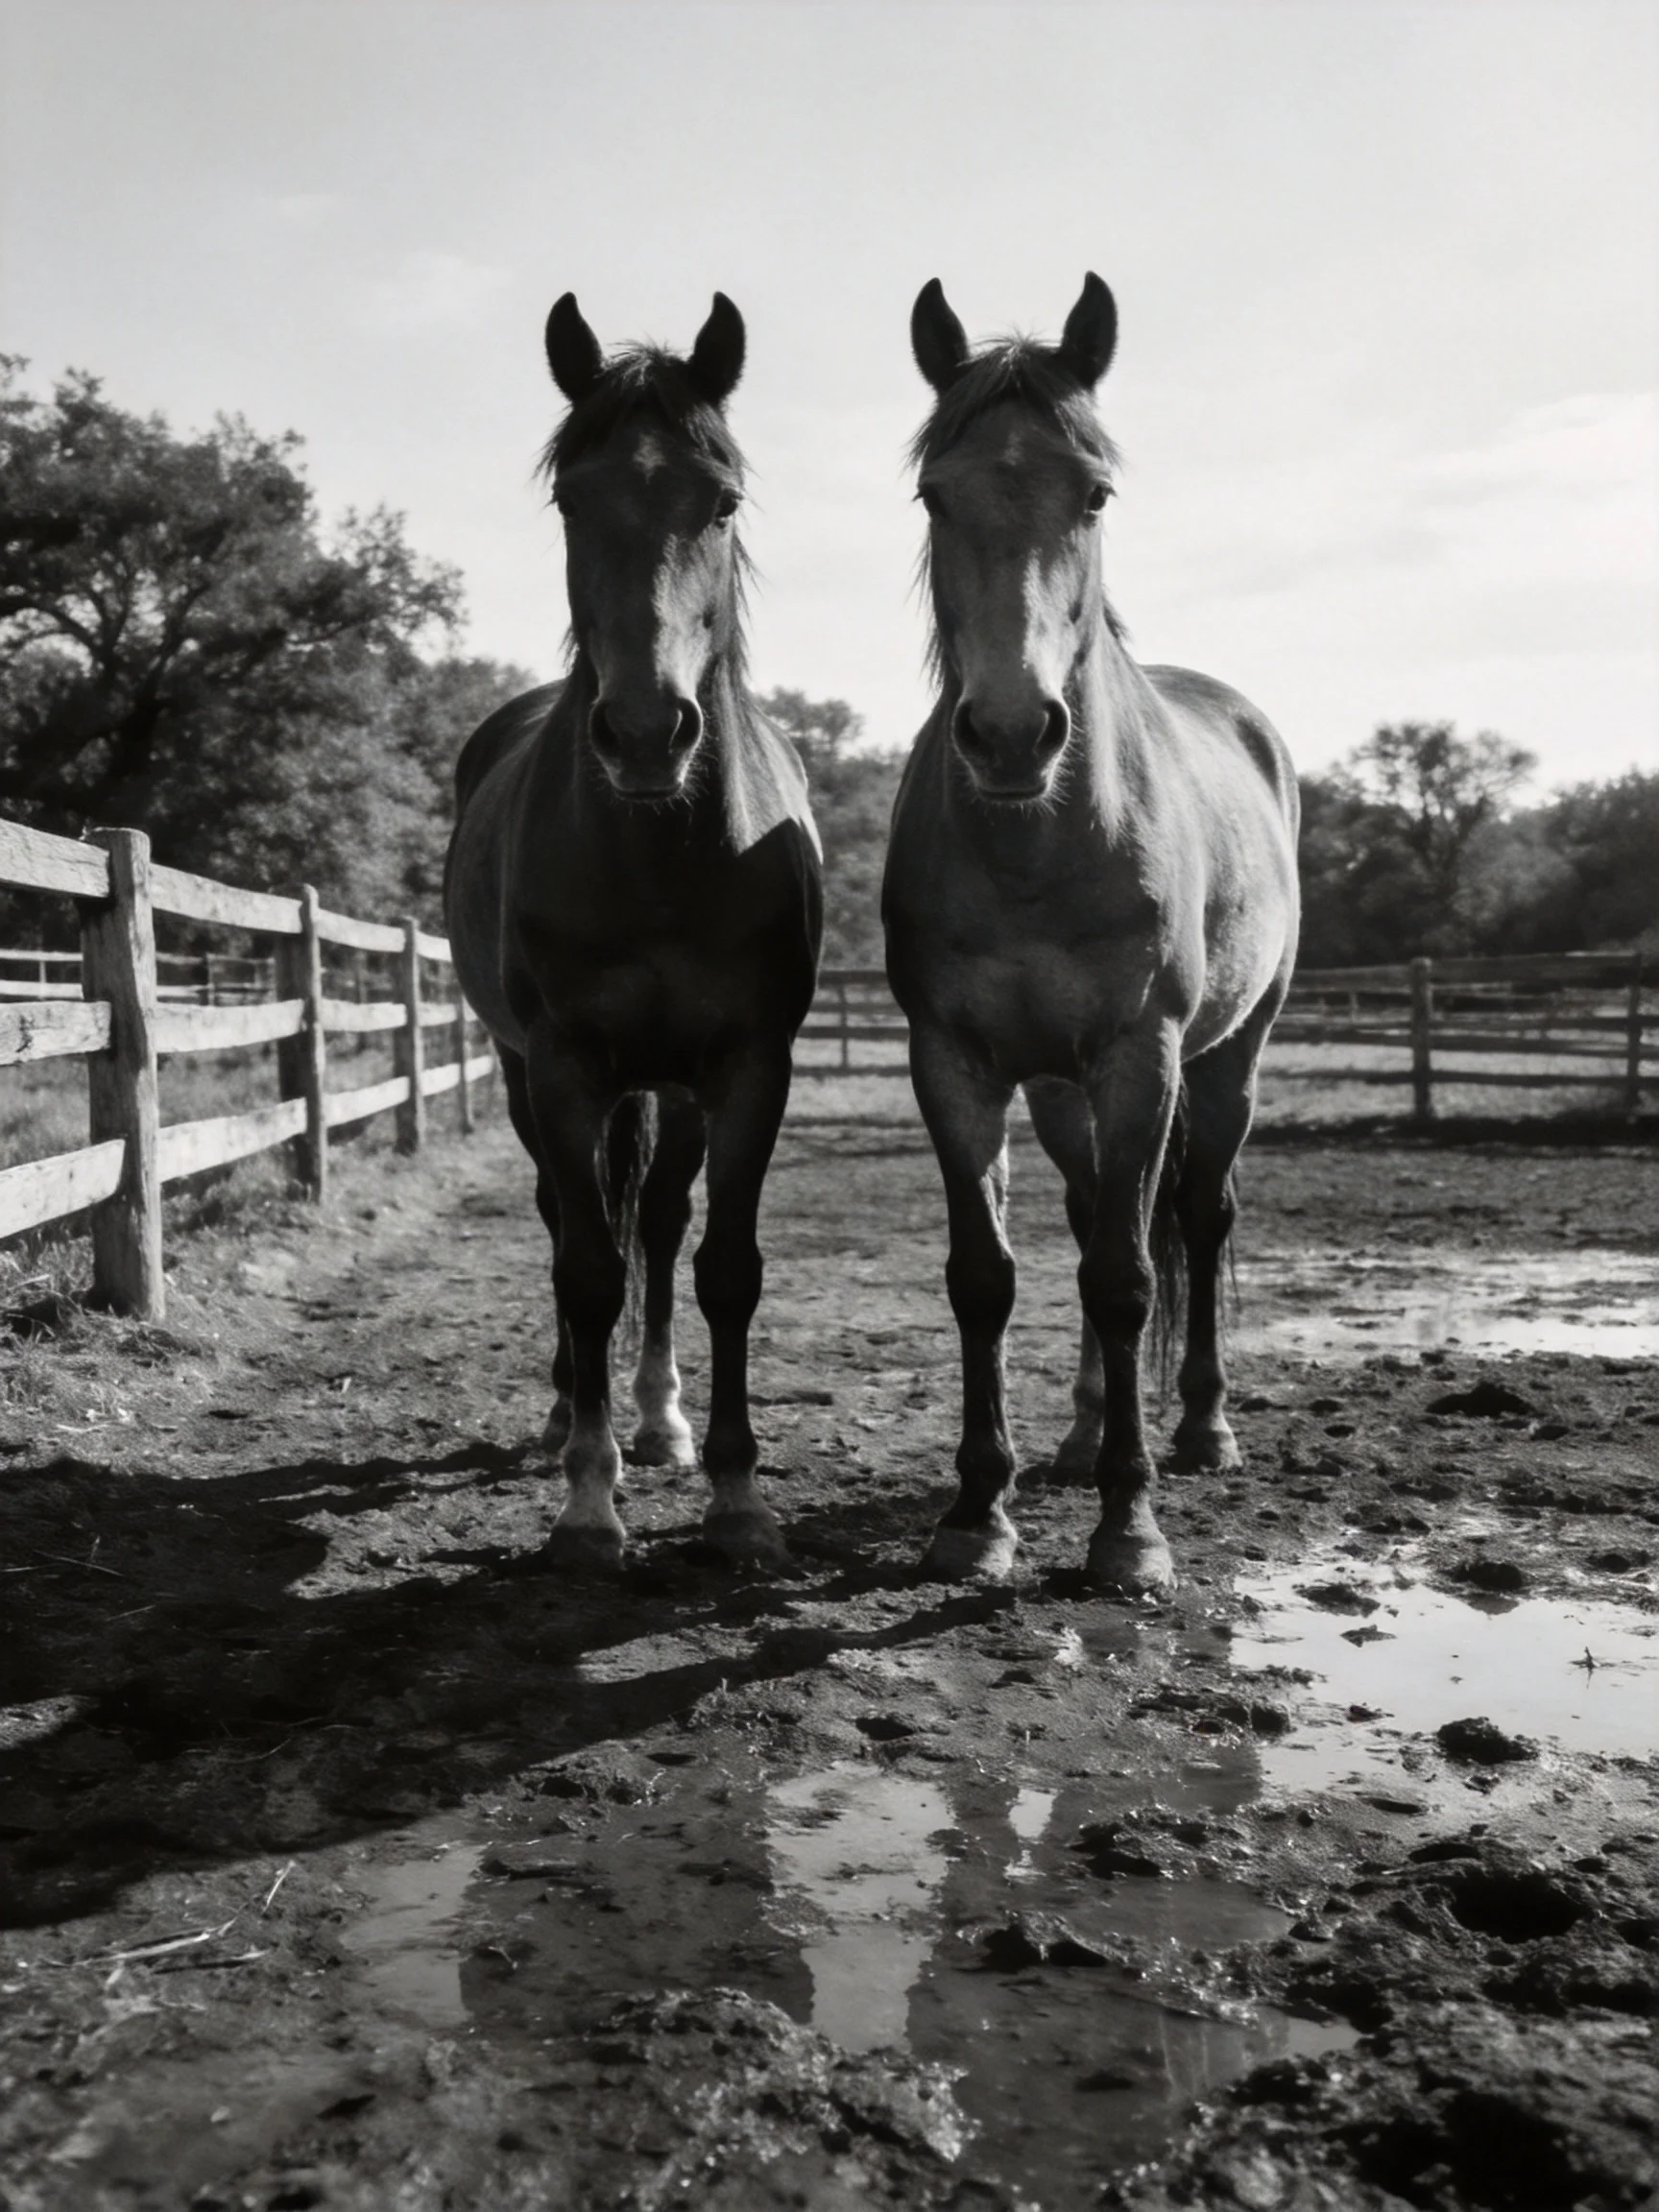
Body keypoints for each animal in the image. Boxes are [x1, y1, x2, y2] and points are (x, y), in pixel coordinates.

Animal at [445, 292, 823, 1571]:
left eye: (723, 500)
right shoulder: (564, 1067)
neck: (663, 853)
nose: (650, 732)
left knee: (658, 1222)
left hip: (674, 1087)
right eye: (572, 500)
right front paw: (586, 1503)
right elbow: (587, 1268)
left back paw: (658, 1420)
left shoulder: (748, 1068)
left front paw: (738, 1496)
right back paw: (575, 1412)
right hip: (534, 1074)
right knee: (574, 1225)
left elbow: (723, 1265)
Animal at [883, 274, 1300, 1596]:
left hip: (1227, 1060)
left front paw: (1132, 1526)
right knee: (1080, 1220)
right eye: (935, 493)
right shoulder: (955, 1063)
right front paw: (980, 1511)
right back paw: (1072, 1440)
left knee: (1199, 1219)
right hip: (1063, 1091)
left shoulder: (1140, 1059)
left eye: (1097, 493)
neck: (1043, 845)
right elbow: (986, 1277)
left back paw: (1203, 1432)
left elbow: (1127, 1279)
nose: (1016, 734)